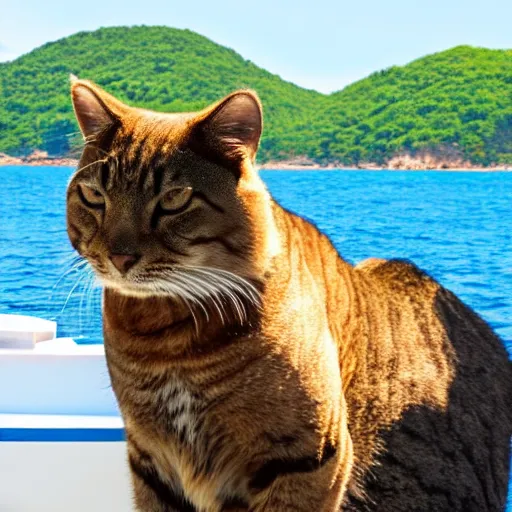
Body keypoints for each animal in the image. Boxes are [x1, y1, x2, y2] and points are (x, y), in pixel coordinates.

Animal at [67, 77, 512, 512]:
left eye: (174, 199)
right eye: (94, 196)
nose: (119, 256)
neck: (166, 340)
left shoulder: (309, 456)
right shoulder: (151, 458)